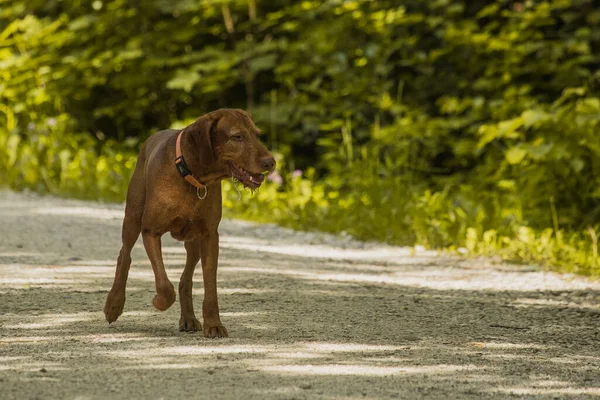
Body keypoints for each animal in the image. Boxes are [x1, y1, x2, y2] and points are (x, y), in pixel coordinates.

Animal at [103, 109, 274, 338]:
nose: (271, 162)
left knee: (186, 279)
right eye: (237, 137)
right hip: (132, 217)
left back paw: (189, 319)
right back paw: (114, 304)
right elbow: (164, 286)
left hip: (193, 241)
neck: (191, 175)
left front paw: (213, 324)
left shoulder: (210, 236)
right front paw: (158, 302)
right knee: (125, 255)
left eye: (257, 135)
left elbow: (210, 287)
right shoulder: (150, 231)